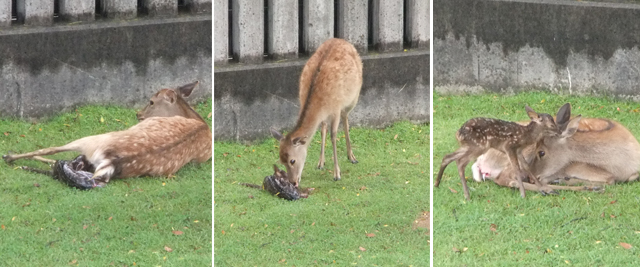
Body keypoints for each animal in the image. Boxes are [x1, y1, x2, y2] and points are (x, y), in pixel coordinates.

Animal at [3, 81, 212, 188]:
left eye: (151, 101)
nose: (138, 114)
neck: (202, 124)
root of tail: (111, 161)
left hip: (93, 139)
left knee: (52, 152)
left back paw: (10, 157)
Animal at [268, 38, 362, 188]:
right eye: (281, 160)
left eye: (292, 160)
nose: (293, 182)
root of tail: (342, 40)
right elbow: (323, 131)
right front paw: (320, 164)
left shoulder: (336, 108)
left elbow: (333, 136)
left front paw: (337, 174)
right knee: (323, 127)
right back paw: (321, 162)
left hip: (353, 98)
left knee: (346, 119)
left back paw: (351, 157)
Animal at [436, 103, 576, 200]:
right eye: (552, 125)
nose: (560, 132)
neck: (526, 136)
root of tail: (458, 133)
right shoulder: (509, 146)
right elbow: (517, 169)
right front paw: (523, 194)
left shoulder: (519, 150)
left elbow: (526, 167)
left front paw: (545, 189)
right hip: (478, 146)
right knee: (460, 162)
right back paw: (467, 195)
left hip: (469, 146)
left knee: (448, 156)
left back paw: (437, 184)